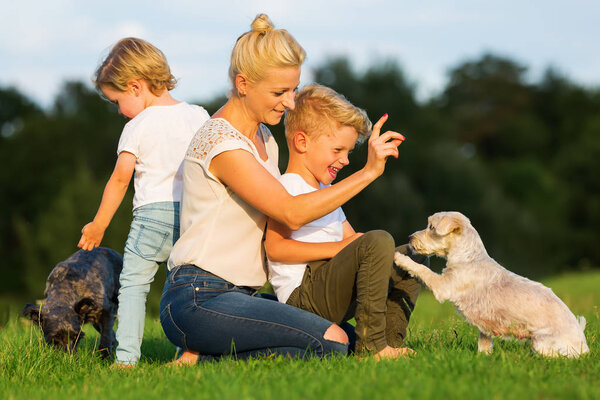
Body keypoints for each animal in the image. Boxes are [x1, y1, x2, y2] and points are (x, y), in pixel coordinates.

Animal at [396, 211, 588, 358]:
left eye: (431, 227)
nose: (409, 237)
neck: (469, 258)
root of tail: (583, 346)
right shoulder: (485, 329)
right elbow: (484, 343)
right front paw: (483, 358)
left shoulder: (443, 286)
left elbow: (422, 270)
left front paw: (400, 258)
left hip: (542, 342)